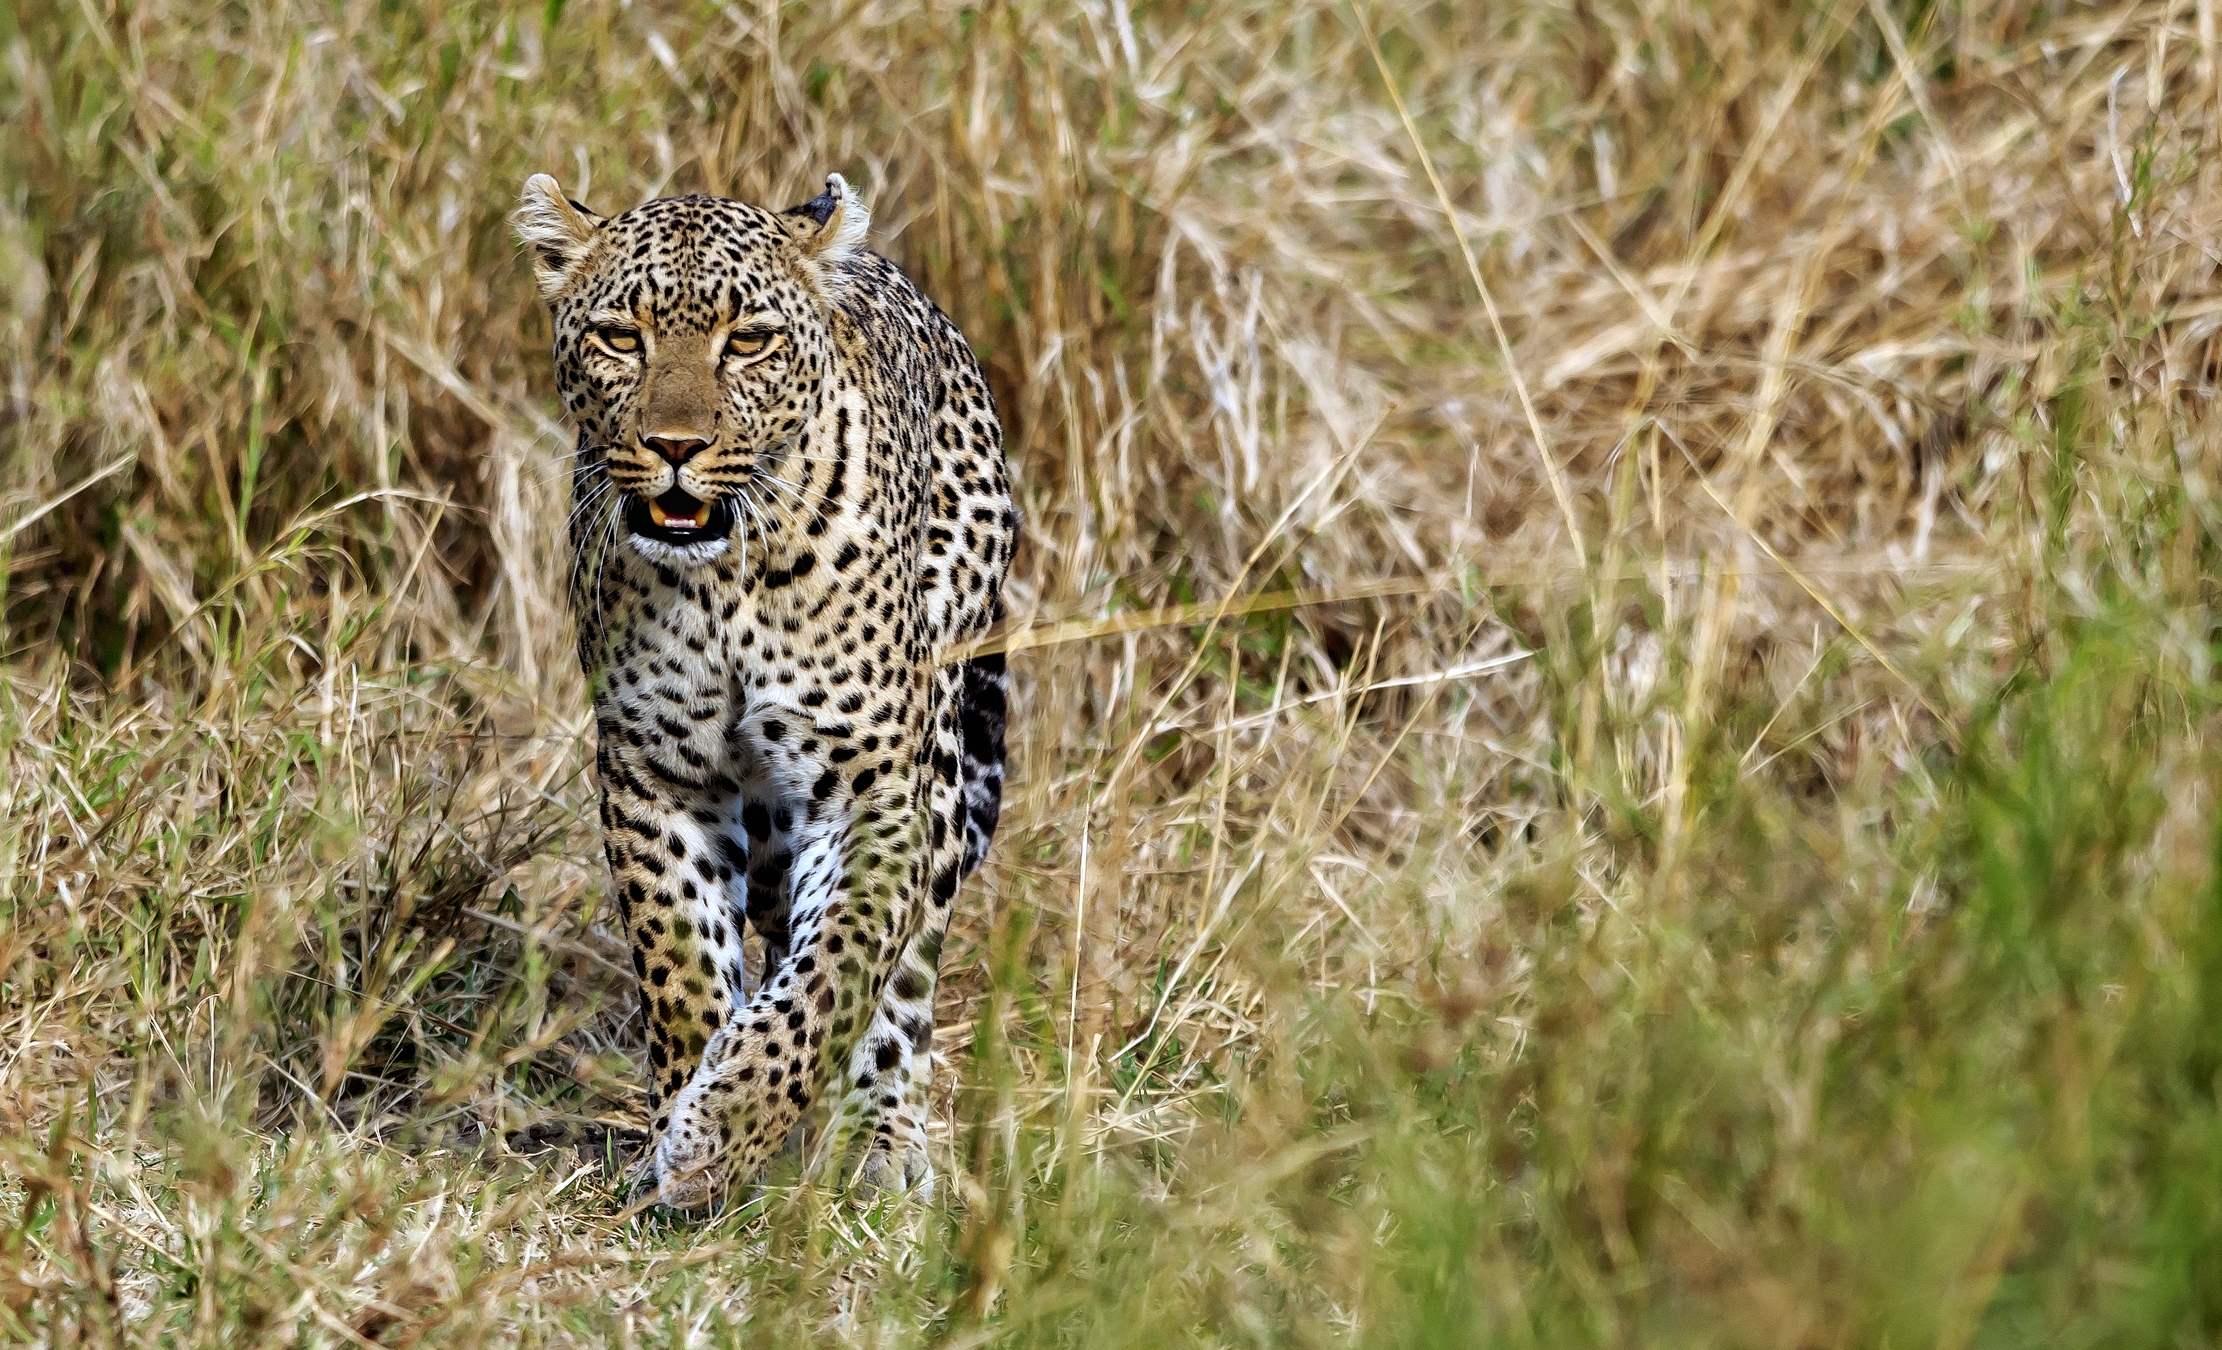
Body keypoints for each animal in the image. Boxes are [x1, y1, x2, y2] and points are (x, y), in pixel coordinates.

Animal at [512, 170, 1015, 1209]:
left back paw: (880, 1140)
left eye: (747, 341)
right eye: (620, 337)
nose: (674, 445)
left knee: (902, 975)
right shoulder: (654, 774)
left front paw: (727, 1129)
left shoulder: (872, 786)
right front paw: (691, 1133)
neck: (720, 582)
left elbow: (836, 974)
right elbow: (679, 961)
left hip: (944, 758)